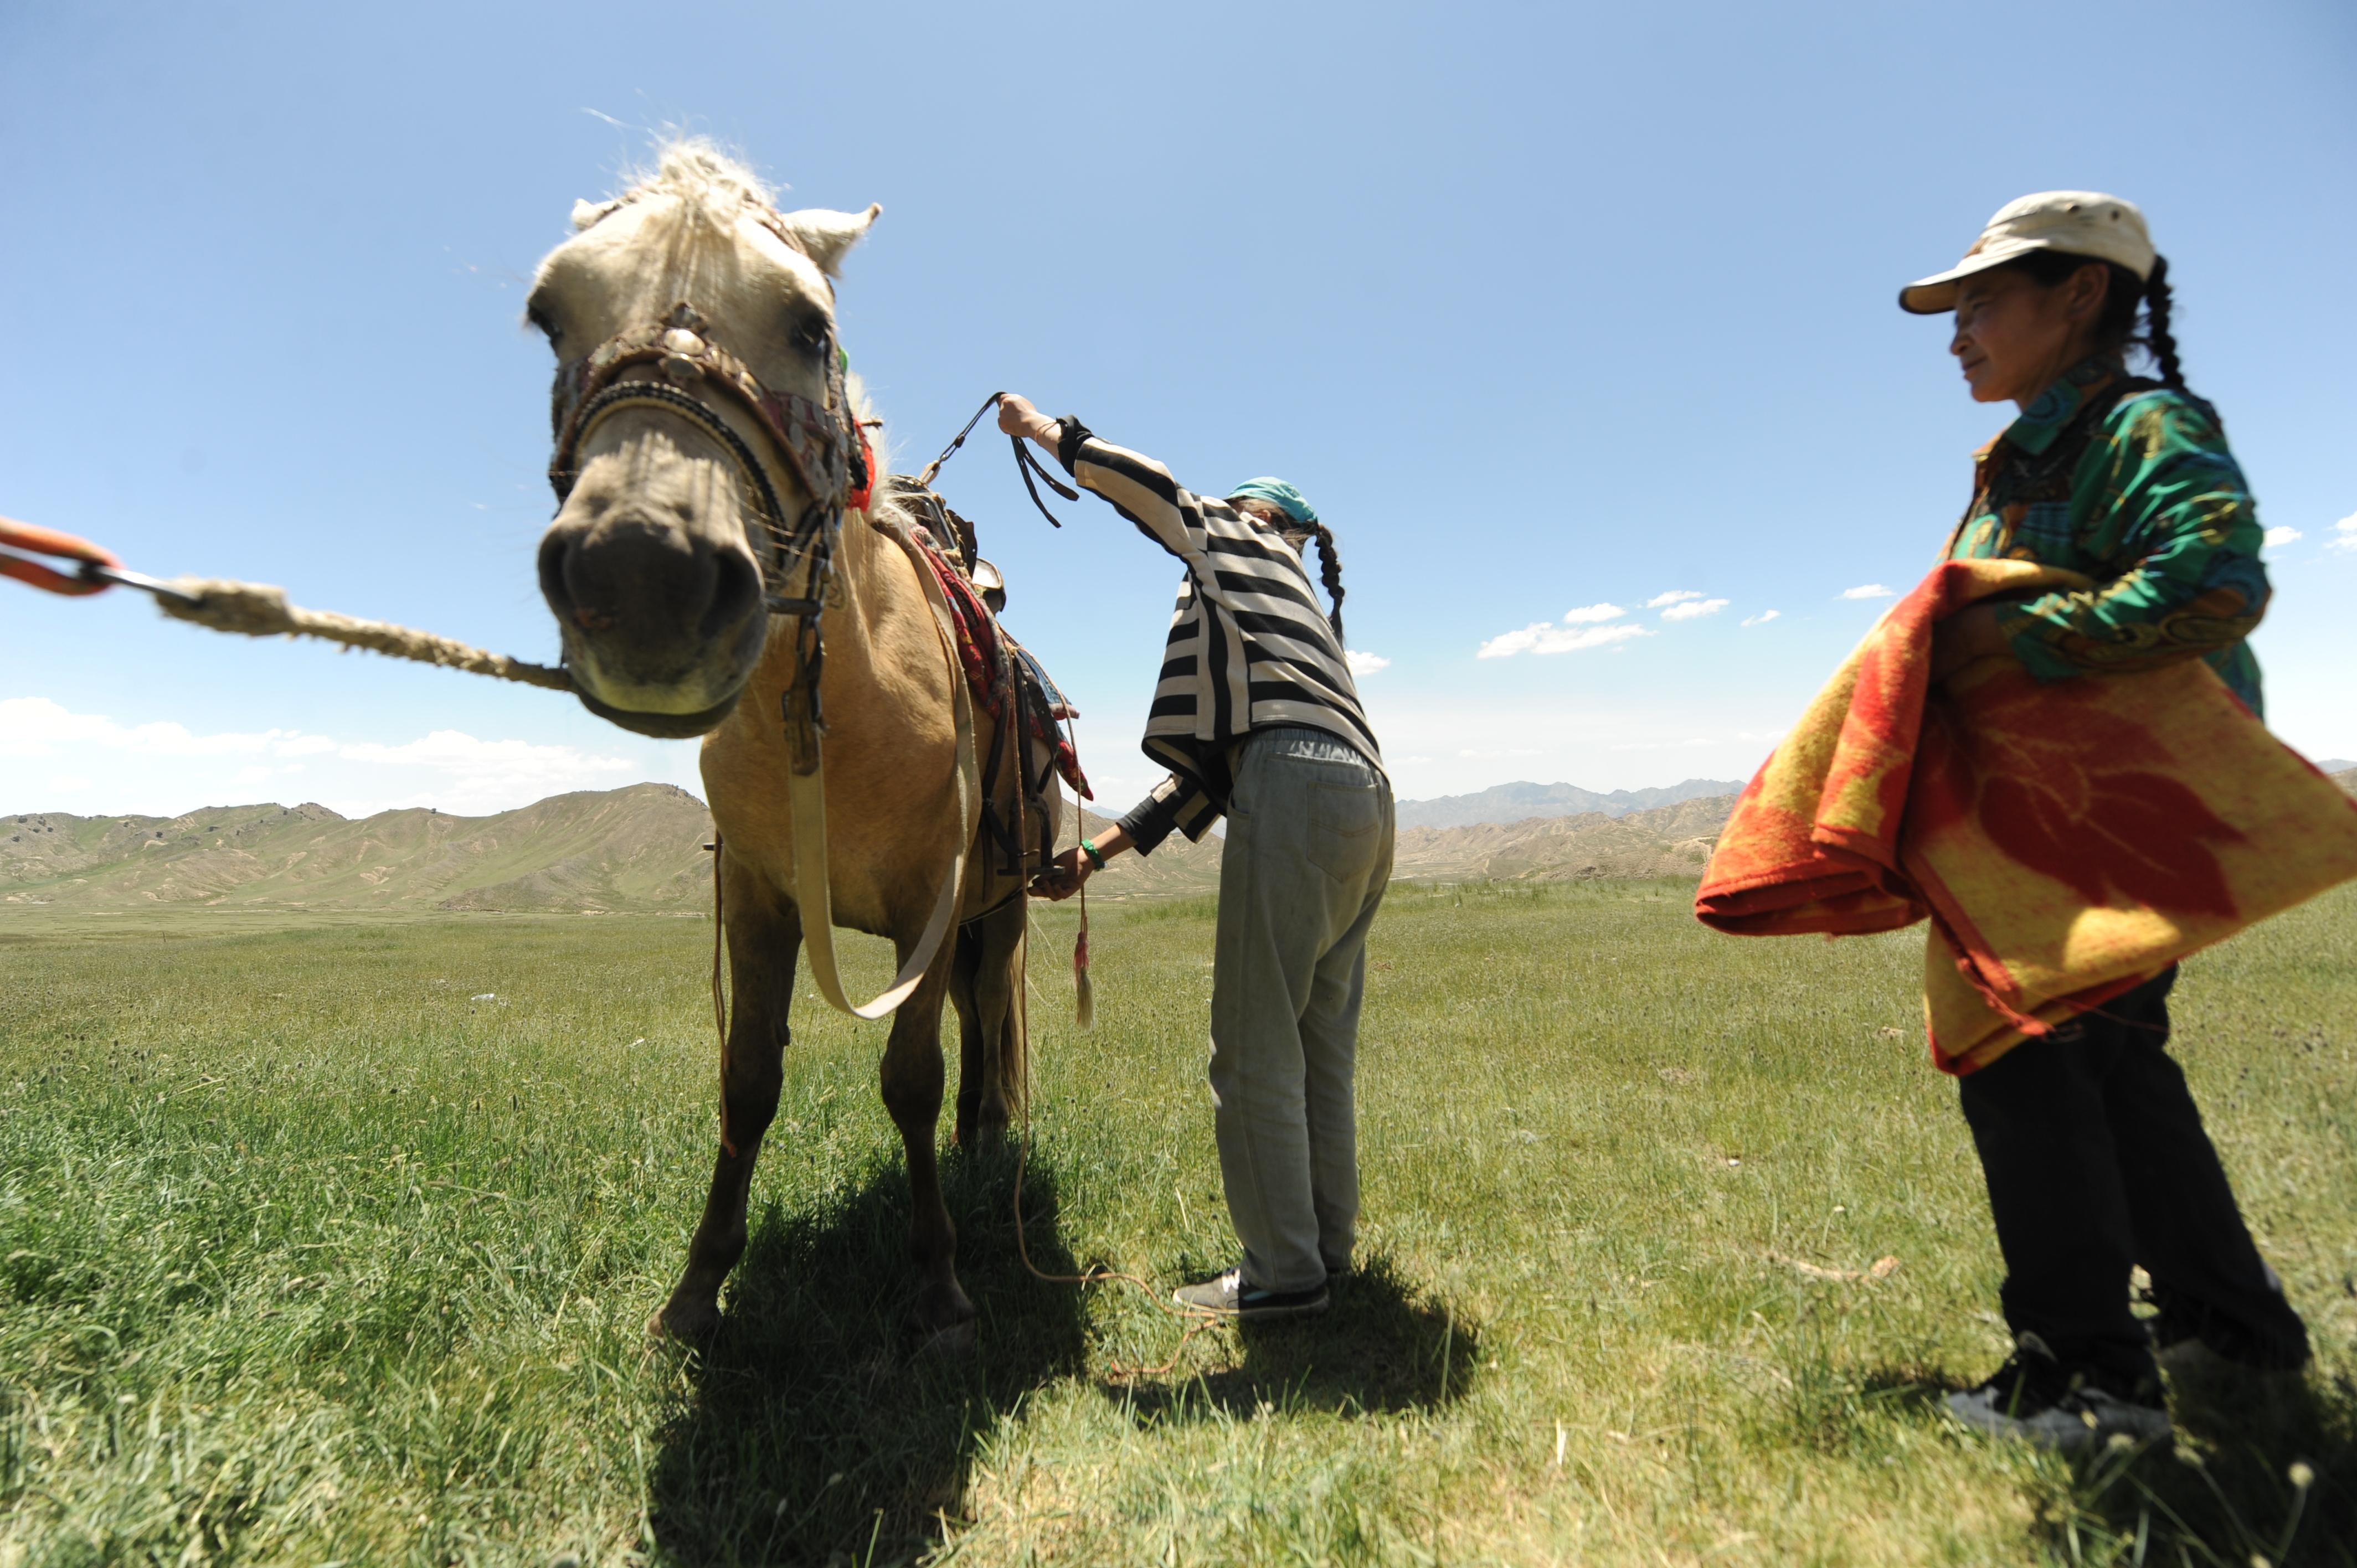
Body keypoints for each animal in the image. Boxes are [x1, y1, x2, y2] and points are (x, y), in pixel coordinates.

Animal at [535, 143, 1061, 1348]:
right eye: (548, 315)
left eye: (811, 326)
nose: (645, 575)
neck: (831, 708)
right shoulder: (760, 899)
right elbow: (745, 1083)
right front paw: (696, 1288)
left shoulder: (932, 900)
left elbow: (911, 1077)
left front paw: (941, 1286)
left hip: (999, 905)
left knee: (982, 1017)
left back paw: (984, 1147)